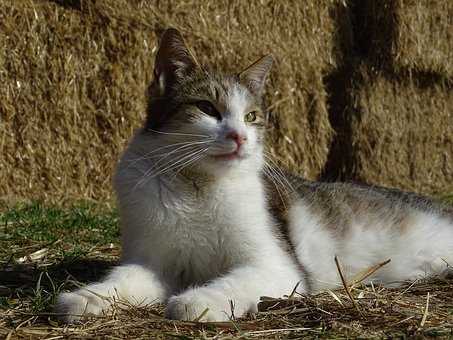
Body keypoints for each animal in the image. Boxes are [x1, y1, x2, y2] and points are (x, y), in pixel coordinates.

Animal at [55, 28, 452, 322]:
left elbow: (233, 283)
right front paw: (87, 298)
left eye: (251, 117)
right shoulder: (153, 262)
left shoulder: (275, 265)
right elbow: (124, 279)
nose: (240, 136)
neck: (197, 186)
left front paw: (197, 301)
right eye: (207, 108)